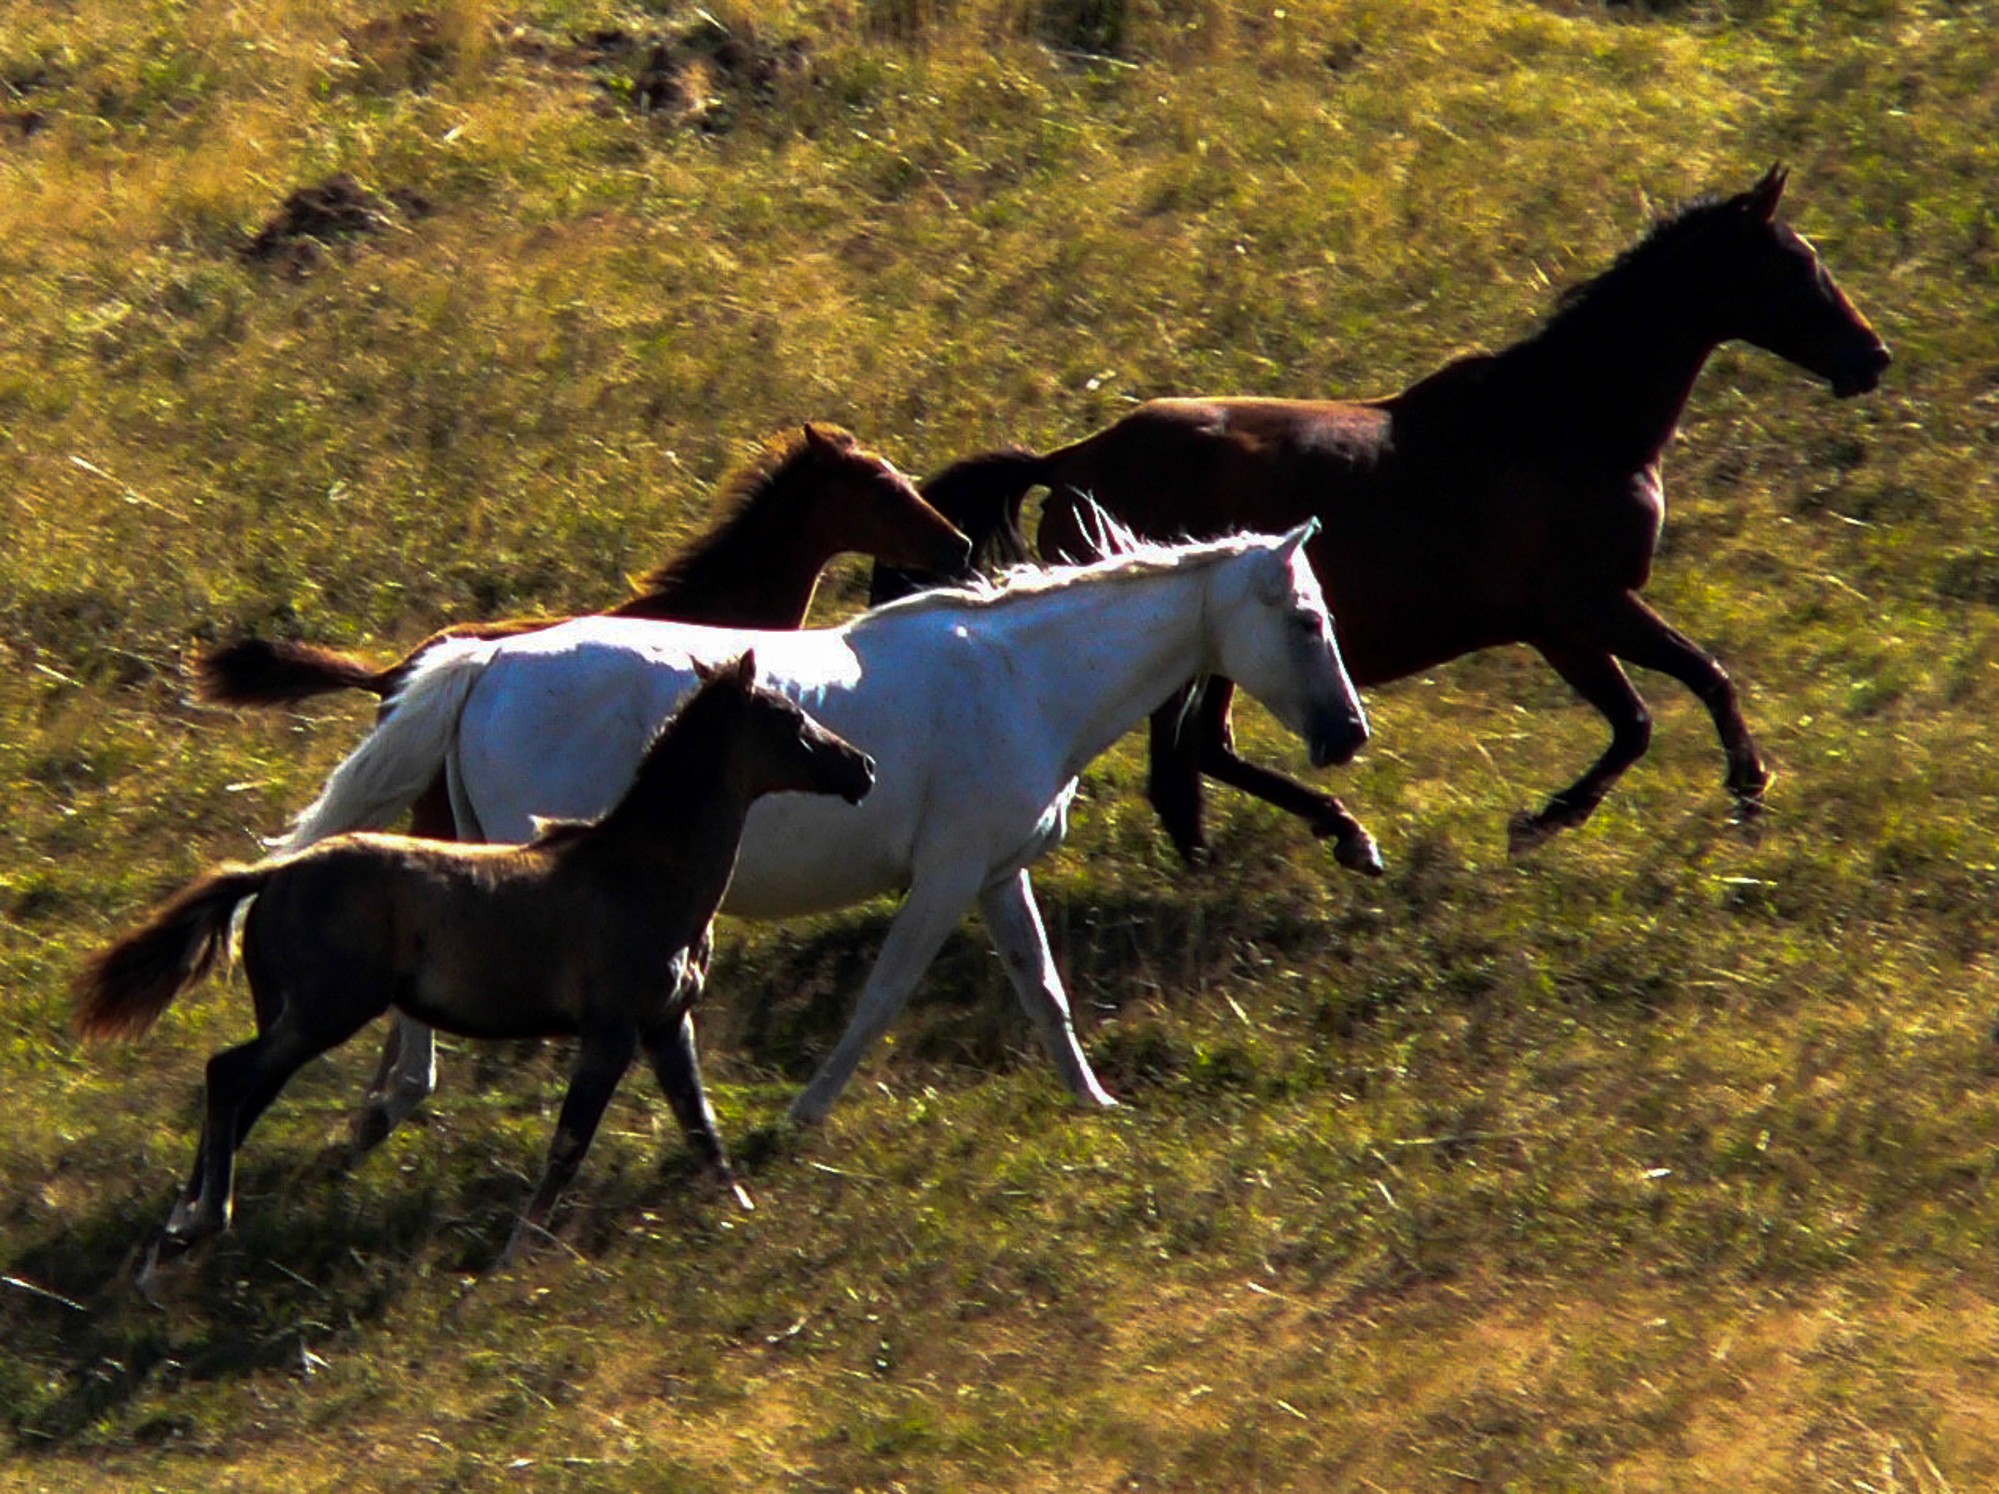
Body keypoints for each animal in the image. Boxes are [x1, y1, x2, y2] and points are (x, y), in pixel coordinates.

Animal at [73, 656, 871, 1272]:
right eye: (790, 719)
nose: (860, 767)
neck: (644, 877)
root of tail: (276, 874)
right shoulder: (611, 1030)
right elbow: (570, 1142)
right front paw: (517, 1250)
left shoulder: (667, 1025)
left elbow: (700, 1127)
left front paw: (739, 1210)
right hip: (324, 1013)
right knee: (228, 1077)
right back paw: (204, 1221)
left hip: (291, 1016)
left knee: (241, 1097)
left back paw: (175, 1238)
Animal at [281, 524, 1367, 1144]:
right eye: (1307, 620)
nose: (1346, 735)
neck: (1021, 682)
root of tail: (488, 665)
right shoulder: (945, 878)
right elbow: (883, 994)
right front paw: (803, 1118)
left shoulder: (992, 874)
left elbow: (1044, 990)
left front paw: (1092, 1105)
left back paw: (394, 1102)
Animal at [919, 165, 1887, 872]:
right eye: (1798, 265)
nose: (1870, 358)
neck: (1567, 419)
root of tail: (1071, 462)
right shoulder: (1582, 610)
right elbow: (1677, 697)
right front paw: (1716, 799)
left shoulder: (1566, 623)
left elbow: (1652, 710)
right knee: (1192, 753)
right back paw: (1338, 835)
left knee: (1188, 761)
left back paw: (1246, 855)